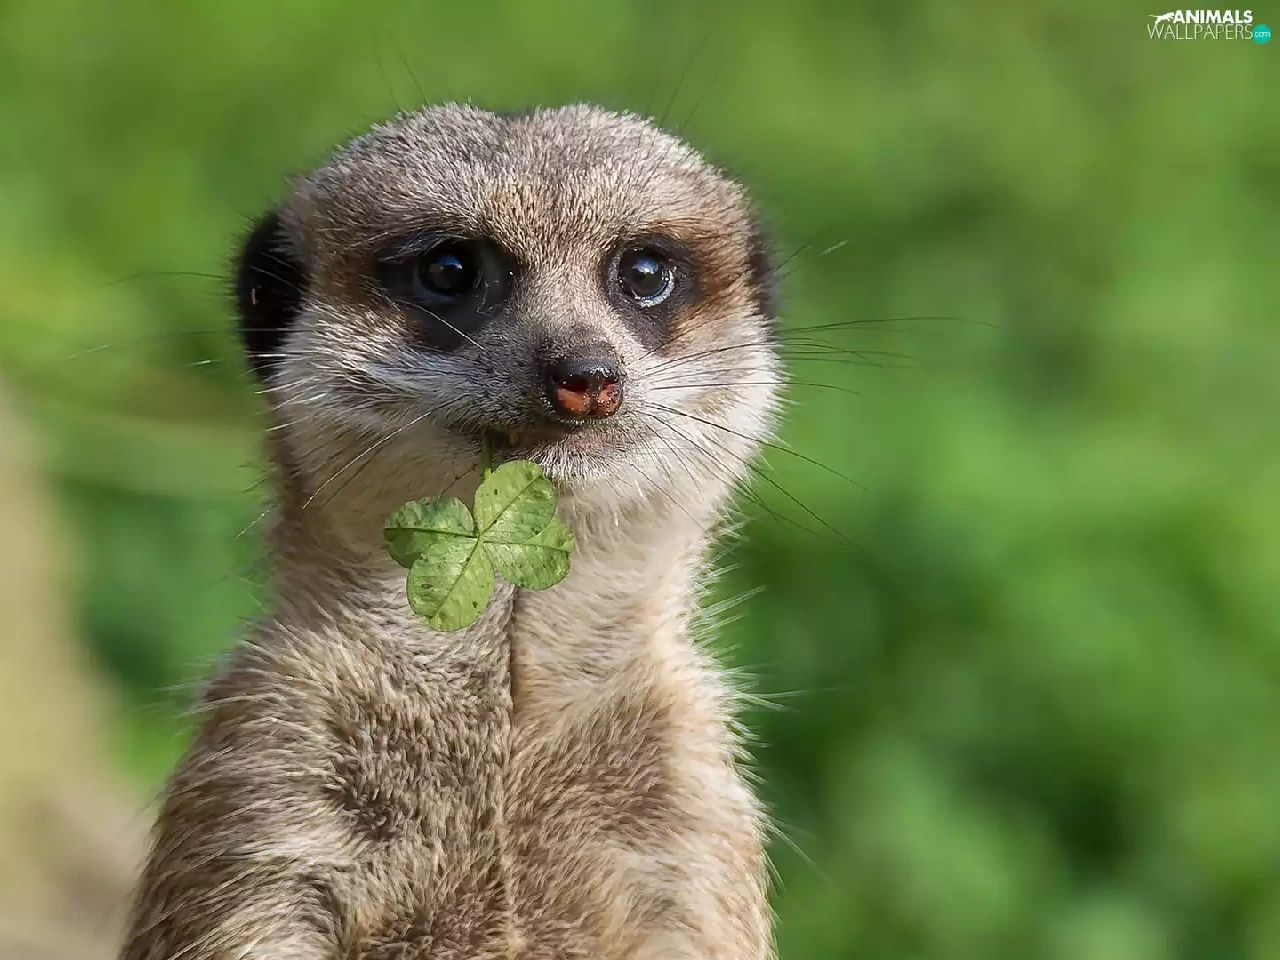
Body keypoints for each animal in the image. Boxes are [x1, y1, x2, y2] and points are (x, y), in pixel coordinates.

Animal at [119, 103, 782, 960]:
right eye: (450, 269)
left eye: (644, 273)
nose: (583, 375)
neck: (504, 706)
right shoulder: (264, 765)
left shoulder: (694, 801)